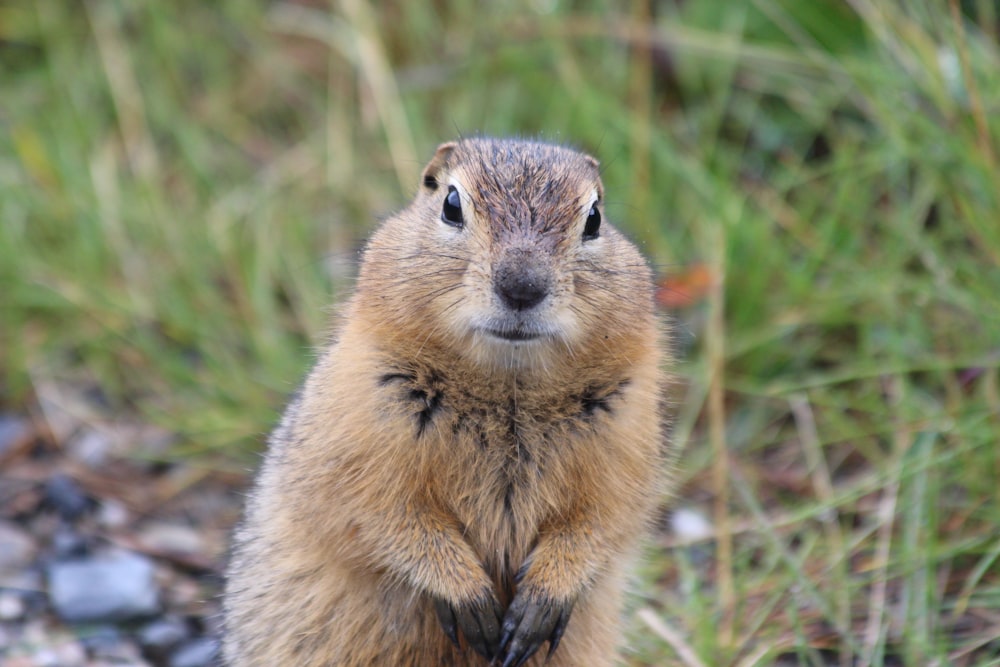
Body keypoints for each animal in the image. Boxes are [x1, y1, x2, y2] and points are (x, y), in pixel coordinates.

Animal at [224, 138, 676, 664]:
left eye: (594, 218)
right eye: (451, 205)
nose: (522, 285)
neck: (508, 391)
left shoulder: (627, 436)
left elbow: (604, 520)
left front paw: (537, 606)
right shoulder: (360, 425)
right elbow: (382, 515)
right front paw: (470, 601)